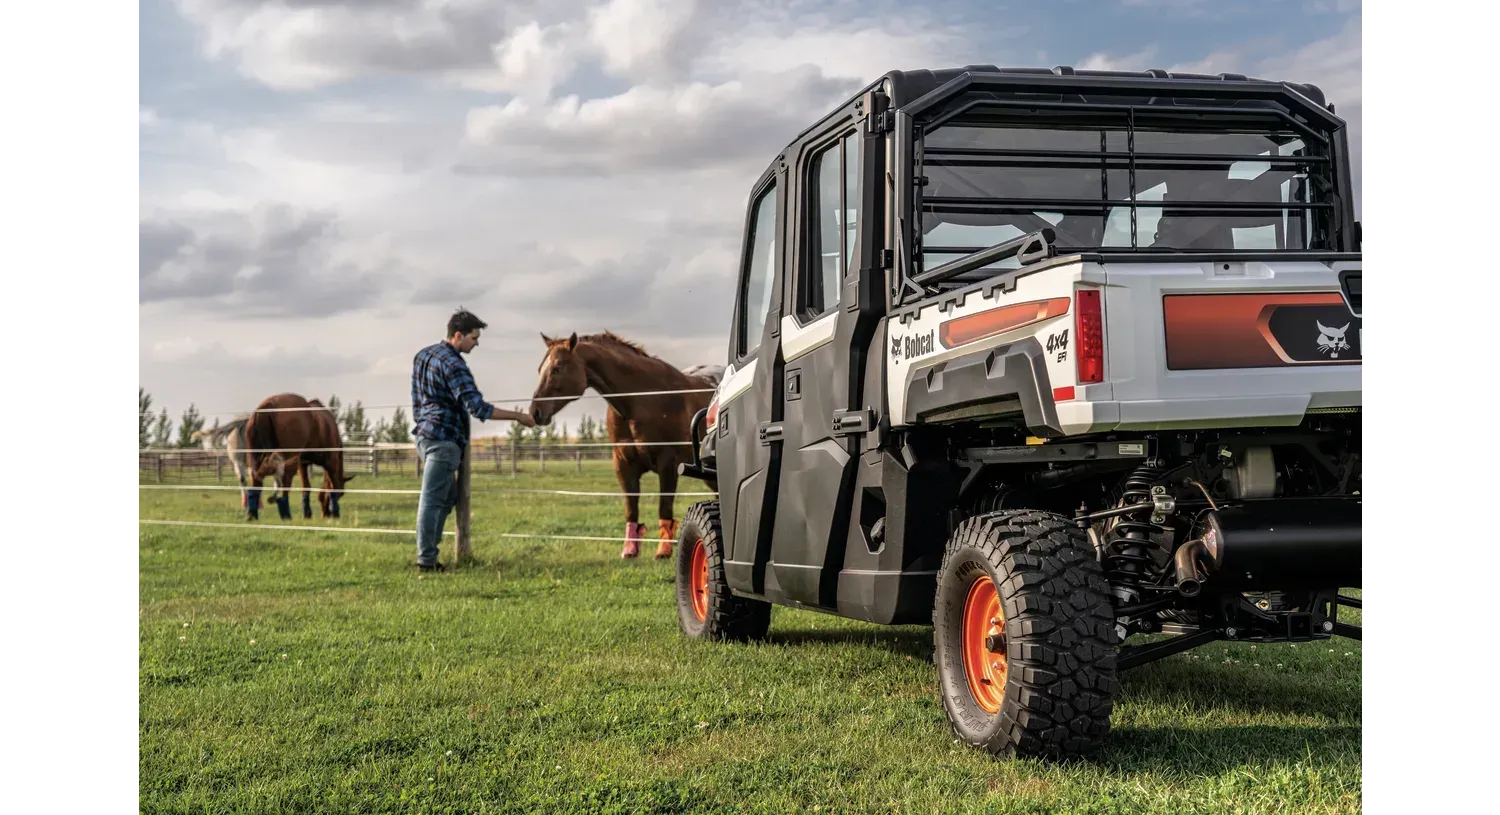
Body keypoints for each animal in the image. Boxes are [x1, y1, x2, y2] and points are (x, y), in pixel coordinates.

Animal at [528, 331, 720, 561]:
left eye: (557, 368)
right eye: (539, 369)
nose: (535, 412)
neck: (643, 400)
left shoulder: (668, 463)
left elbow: (664, 507)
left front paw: (663, 551)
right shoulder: (623, 463)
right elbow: (631, 508)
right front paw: (630, 550)